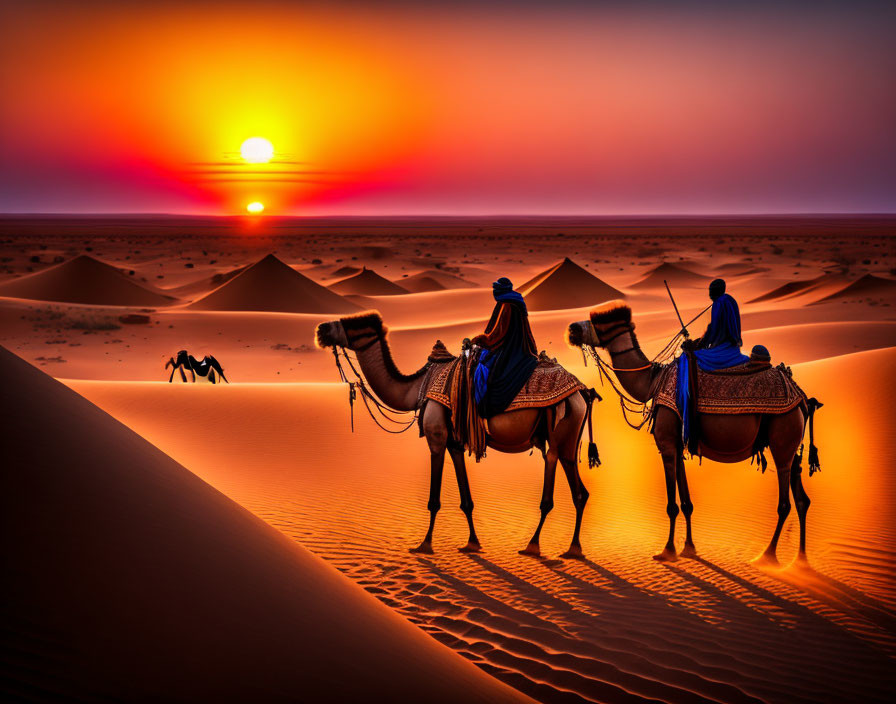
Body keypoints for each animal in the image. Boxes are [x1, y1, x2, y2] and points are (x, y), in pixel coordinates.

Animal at [318, 310, 592, 560]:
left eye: (351, 325)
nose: (321, 330)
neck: (417, 388)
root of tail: (582, 391)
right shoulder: (455, 443)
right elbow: (466, 500)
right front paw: (472, 543)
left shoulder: (436, 439)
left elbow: (434, 499)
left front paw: (425, 545)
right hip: (570, 438)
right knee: (580, 491)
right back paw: (574, 550)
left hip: (557, 430)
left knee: (551, 481)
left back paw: (533, 546)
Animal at [572, 302, 816, 568]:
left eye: (599, 321)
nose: (572, 329)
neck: (652, 383)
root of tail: (801, 397)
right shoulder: (678, 444)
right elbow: (687, 502)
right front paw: (688, 548)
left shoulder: (667, 444)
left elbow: (672, 504)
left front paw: (667, 550)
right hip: (792, 445)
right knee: (802, 499)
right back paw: (801, 559)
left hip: (782, 438)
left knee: (785, 503)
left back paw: (767, 556)